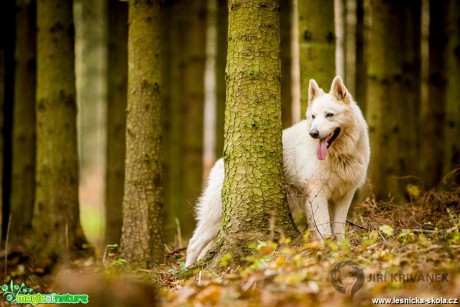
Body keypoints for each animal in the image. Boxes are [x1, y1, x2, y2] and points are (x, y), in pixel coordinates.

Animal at [185, 76, 368, 268]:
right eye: (313, 116)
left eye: (329, 115)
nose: (313, 133)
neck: (340, 155)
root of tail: (219, 163)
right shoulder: (317, 194)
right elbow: (324, 230)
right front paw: (326, 252)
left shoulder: (344, 195)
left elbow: (338, 229)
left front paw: (340, 251)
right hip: (216, 217)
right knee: (193, 244)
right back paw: (186, 270)